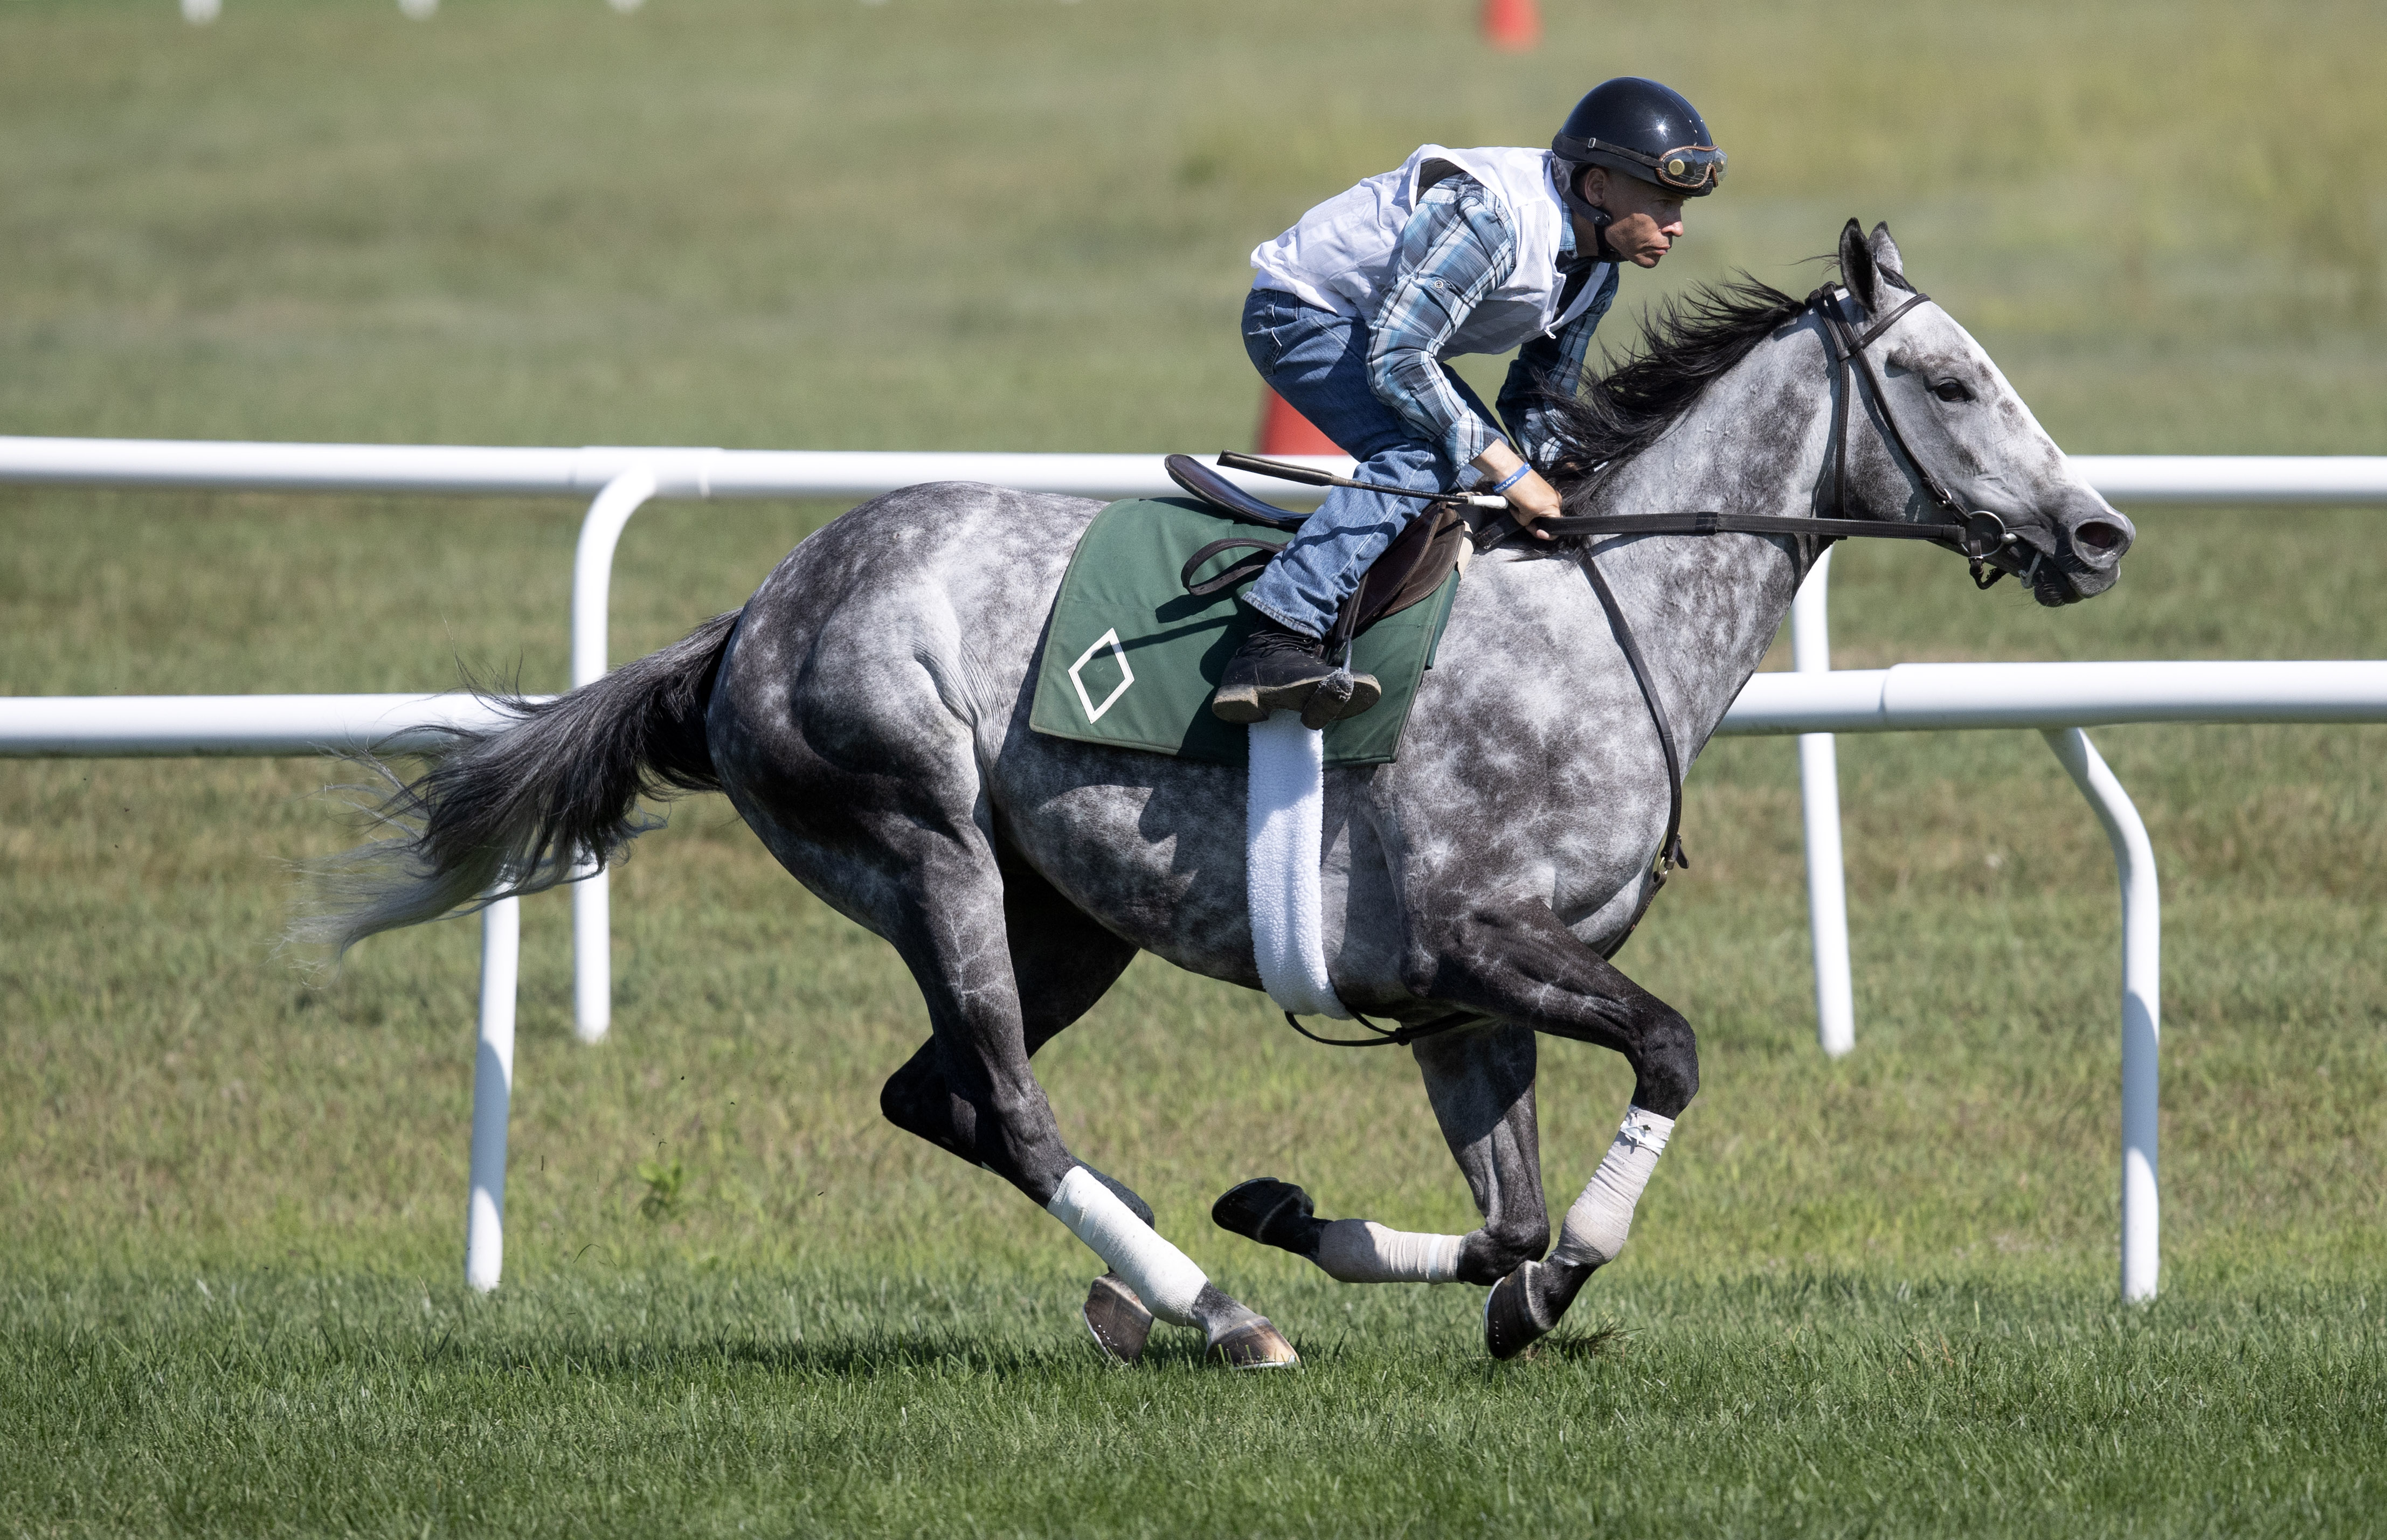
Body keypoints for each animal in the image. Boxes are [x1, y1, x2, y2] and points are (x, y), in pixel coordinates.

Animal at [309, 221, 2133, 1366]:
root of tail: (753, 611)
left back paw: (1159, 1293)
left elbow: (1502, 1223)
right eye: (1953, 383)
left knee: (938, 1097)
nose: (2099, 531)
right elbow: (1666, 1062)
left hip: (1062, 915)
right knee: (1006, 1105)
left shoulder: (1455, 999)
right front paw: (1541, 1282)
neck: (1595, 620)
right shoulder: (1479, 941)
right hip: (922, 847)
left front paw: (1327, 1225)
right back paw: (1213, 1312)